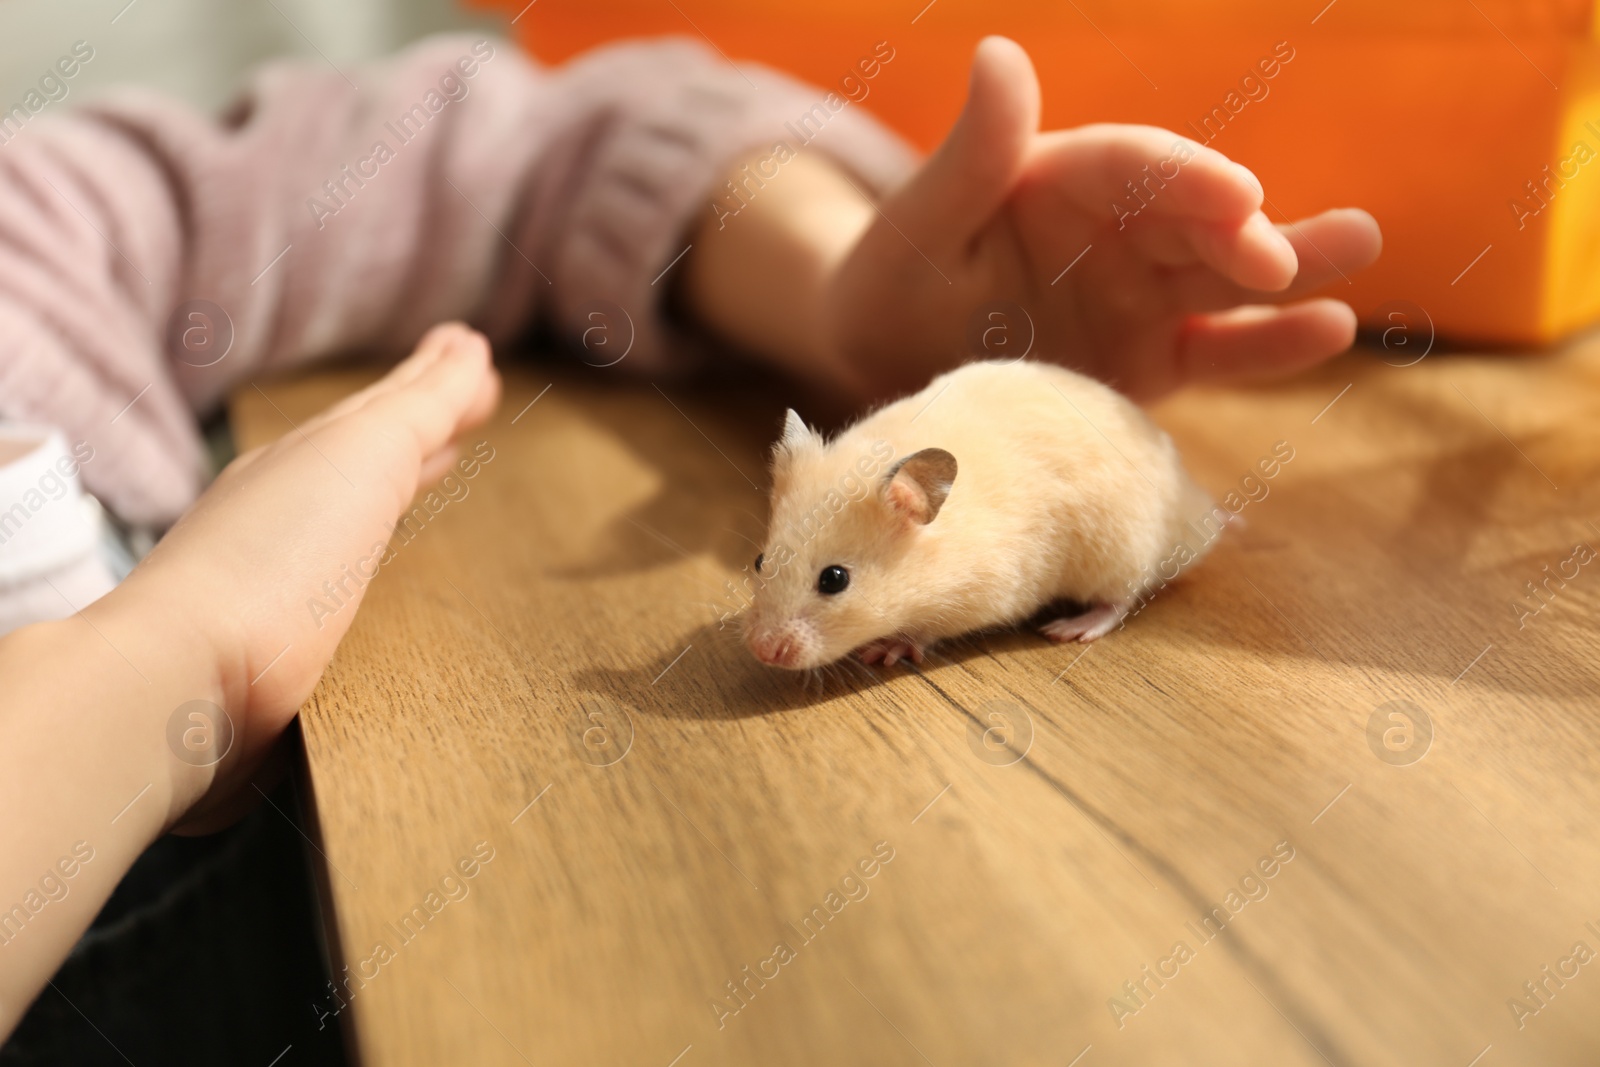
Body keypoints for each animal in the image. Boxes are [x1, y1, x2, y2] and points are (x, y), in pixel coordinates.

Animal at [745, 363, 1222, 671]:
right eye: (759, 561)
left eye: (835, 579)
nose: (762, 651)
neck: (937, 549)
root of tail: (1198, 510)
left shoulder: (984, 595)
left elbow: (924, 631)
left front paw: (884, 651)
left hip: (1121, 550)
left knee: (1121, 600)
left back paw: (1068, 629)